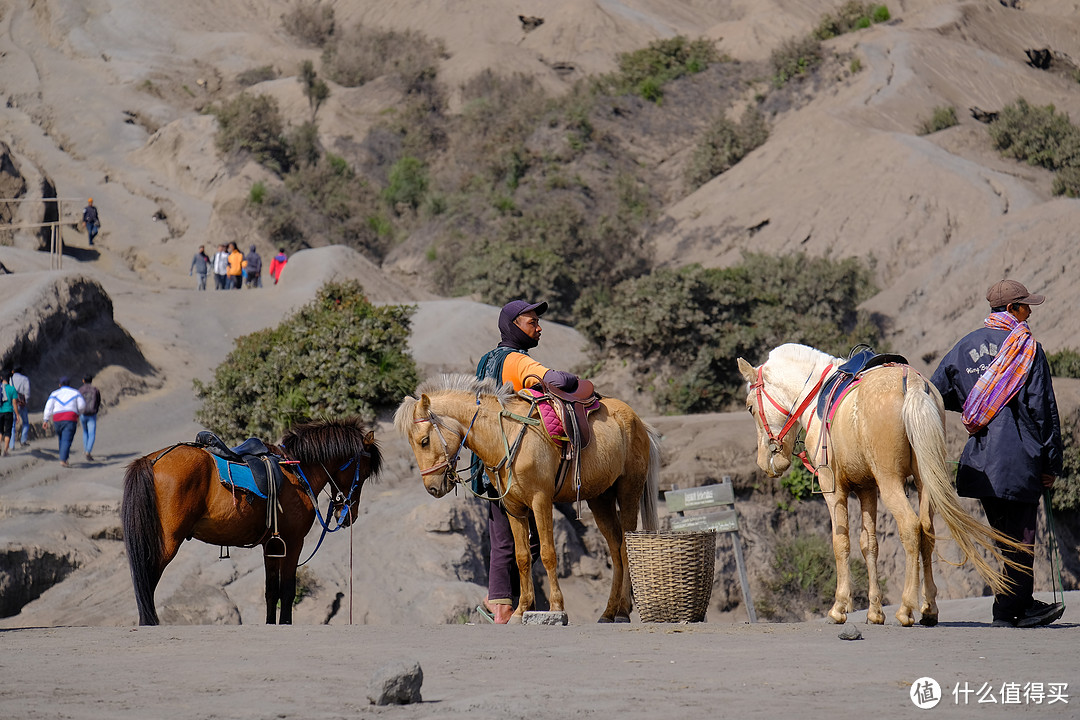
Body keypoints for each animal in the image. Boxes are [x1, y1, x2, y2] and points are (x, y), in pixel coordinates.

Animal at [122, 416, 380, 626]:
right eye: (365, 473)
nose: (349, 514)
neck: (298, 470)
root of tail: (152, 460)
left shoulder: (272, 545)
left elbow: (271, 591)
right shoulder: (293, 542)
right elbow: (287, 591)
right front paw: (286, 623)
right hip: (166, 543)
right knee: (147, 580)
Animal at [390, 375, 652, 621]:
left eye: (424, 441)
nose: (432, 488)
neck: (506, 434)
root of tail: (637, 420)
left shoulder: (541, 501)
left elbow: (548, 554)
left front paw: (557, 607)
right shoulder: (513, 507)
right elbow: (522, 557)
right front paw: (521, 610)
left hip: (629, 491)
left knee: (626, 547)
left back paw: (622, 611)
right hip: (600, 499)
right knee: (615, 550)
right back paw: (609, 612)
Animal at [738, 345, 1023, 626]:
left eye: (750, 407)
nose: (765, 461)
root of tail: (913, 384)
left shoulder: (834, 488)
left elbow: (841, 543)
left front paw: (840, 606)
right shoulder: (867, 489)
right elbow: (869, 545)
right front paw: (875, 610)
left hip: (890, 481)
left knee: (910, 527)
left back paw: (907, 607)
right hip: (924, 481)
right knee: (927, 530)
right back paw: (929, 608)